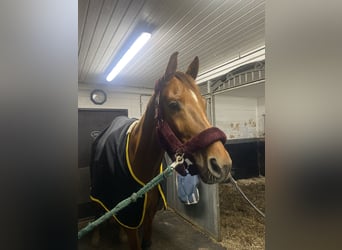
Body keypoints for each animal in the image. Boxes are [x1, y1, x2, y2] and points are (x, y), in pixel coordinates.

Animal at [88, 51, 232, 249]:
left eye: (204, 103)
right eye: (173, 104)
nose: (222, 164)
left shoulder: (148, 216)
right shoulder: (131, 221)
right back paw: (95, 236)